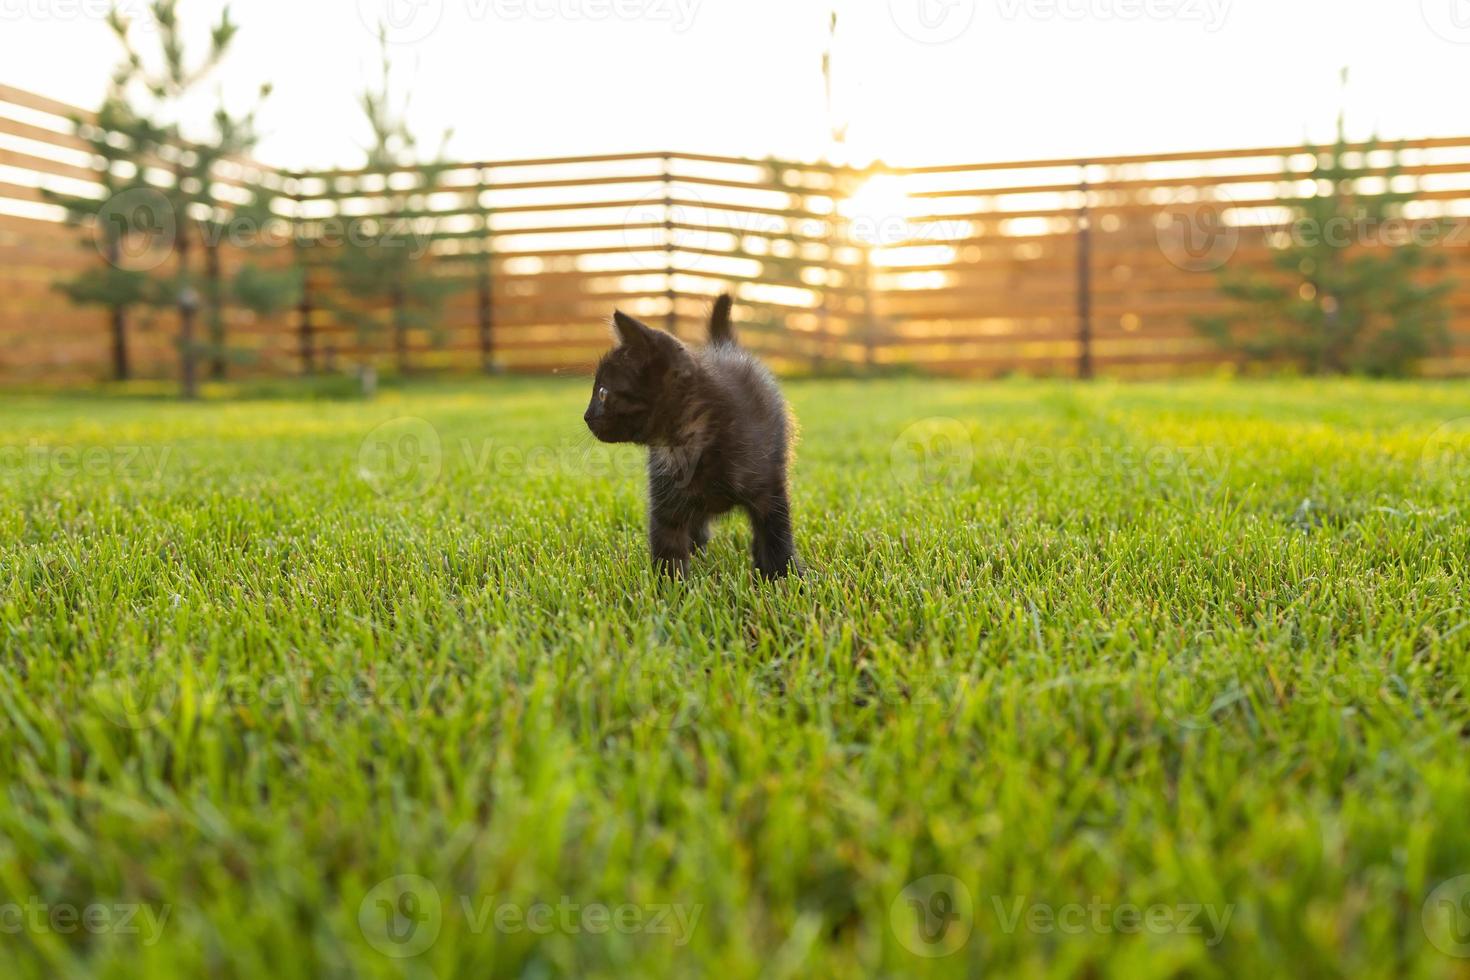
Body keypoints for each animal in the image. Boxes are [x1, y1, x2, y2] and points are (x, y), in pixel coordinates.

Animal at [582, 295, 799, 578]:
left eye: (603, 393)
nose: (586, 416)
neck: (686, 439)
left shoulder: (768, 491)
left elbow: (775, 536)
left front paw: (783, 577)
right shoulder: (666, 499)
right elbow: (668, 546)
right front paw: (669, 585)